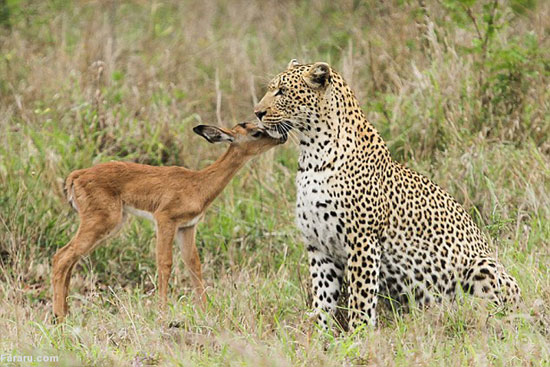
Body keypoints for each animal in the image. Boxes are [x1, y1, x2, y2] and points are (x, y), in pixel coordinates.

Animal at [254, 59, 520, 330]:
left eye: (282, 92)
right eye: (271, 89)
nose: (257, 113)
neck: (311, 155)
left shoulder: (362, 241)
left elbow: (360, 298)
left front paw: (358, 335)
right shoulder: (318, 246)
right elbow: (323, 298)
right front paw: (321, 333)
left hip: (483, 266)